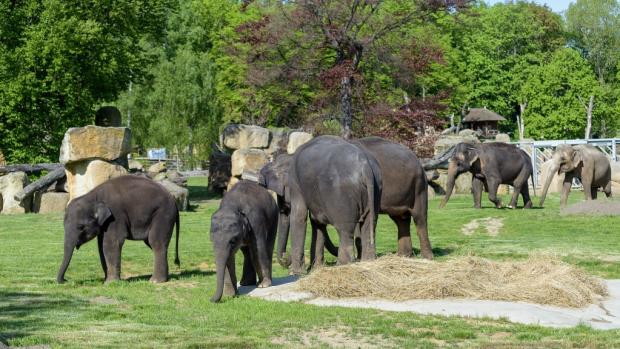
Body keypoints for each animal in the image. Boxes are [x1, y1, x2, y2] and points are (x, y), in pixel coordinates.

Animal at [282, 135, 382, 274]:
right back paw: (367, 262)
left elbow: (299, 216)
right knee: (369, 225)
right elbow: (317, 222)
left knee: (345, 229)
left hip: (341, 196)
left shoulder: (295, 183)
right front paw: (316, 268)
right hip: (376, 190)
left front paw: (296, 272)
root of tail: (365, 166)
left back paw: (342, 265)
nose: (285, 259)